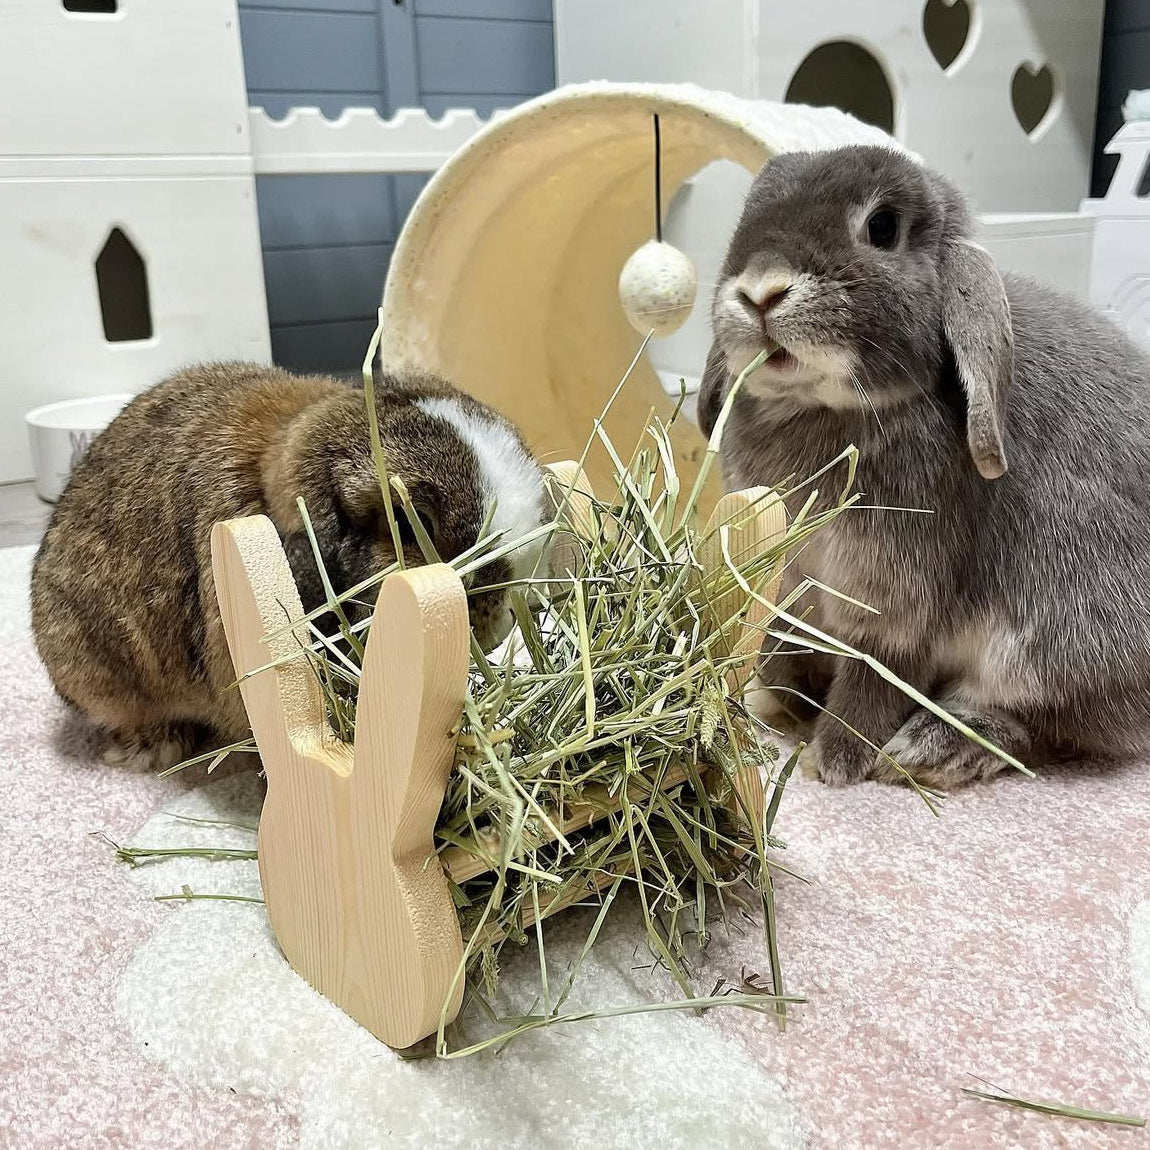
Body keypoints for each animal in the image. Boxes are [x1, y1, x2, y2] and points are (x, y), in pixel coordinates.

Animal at [698, 143, 1150, 789]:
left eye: (882, 227)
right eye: (745, 217)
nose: (760, 291)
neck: (820, 407)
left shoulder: (893, 603)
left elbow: (874, 674)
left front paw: (830, 762)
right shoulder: (791, 586)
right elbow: (783, 647)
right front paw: (779, 702)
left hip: (1060, 636)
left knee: (1046, 730)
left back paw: (934, 748)